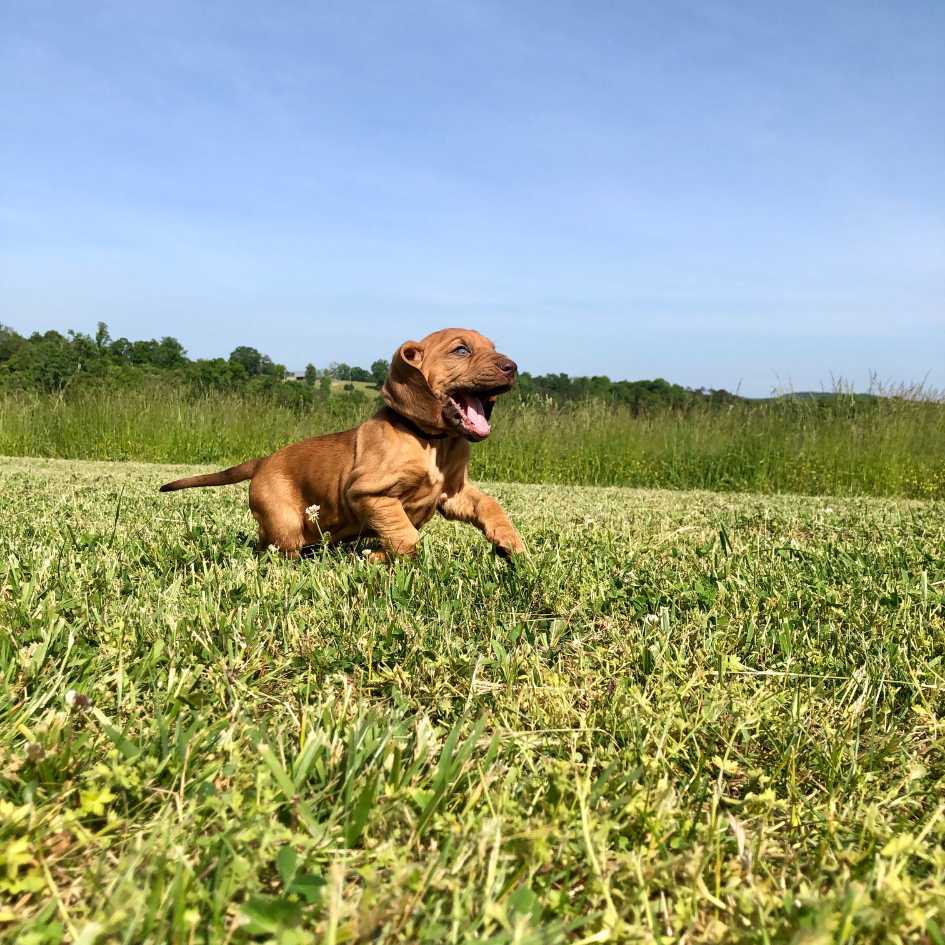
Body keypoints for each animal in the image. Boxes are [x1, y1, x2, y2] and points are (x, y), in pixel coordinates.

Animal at [157, 328, 524, 556]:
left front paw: (510, 541)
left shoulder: (453, 493)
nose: (513, 366)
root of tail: (263, 461)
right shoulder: (369, 493)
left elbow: (489, 504)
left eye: (493, 349)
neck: (431, 442)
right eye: (461, 350)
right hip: (285, 524)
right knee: (274, 548)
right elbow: (406, 536)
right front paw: (377, 557)